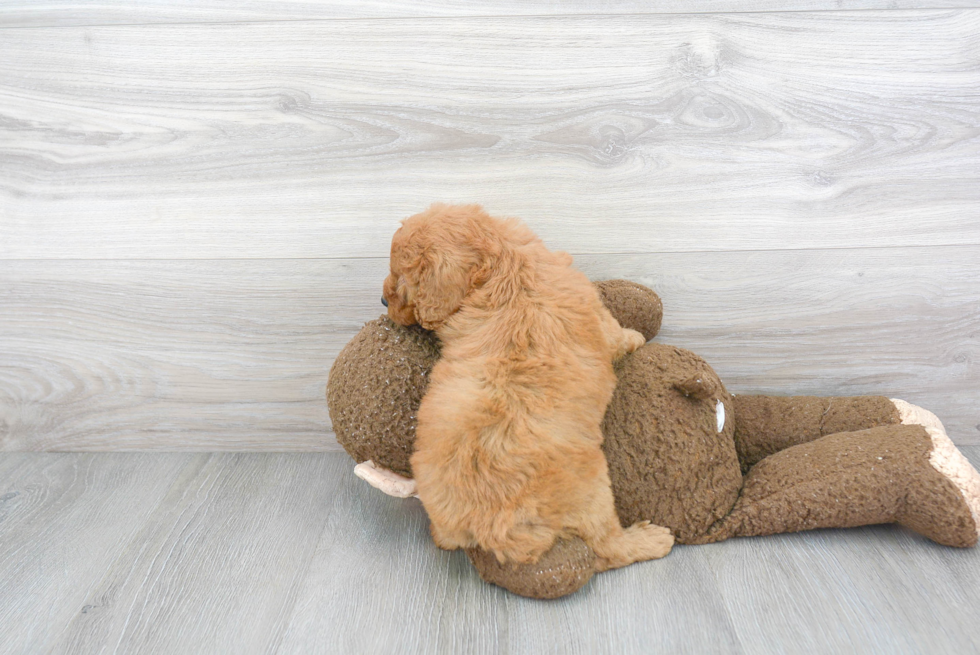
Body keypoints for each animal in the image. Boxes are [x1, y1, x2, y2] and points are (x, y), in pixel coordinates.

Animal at [382, 204, 672, 568]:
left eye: (401, 279)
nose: (382, 301)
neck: (506, 268)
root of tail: (489, 528)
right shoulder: (598, 316)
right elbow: (616, 334)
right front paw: (636, 337)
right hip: (593, 490)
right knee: (607, 547)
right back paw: (652, 539)